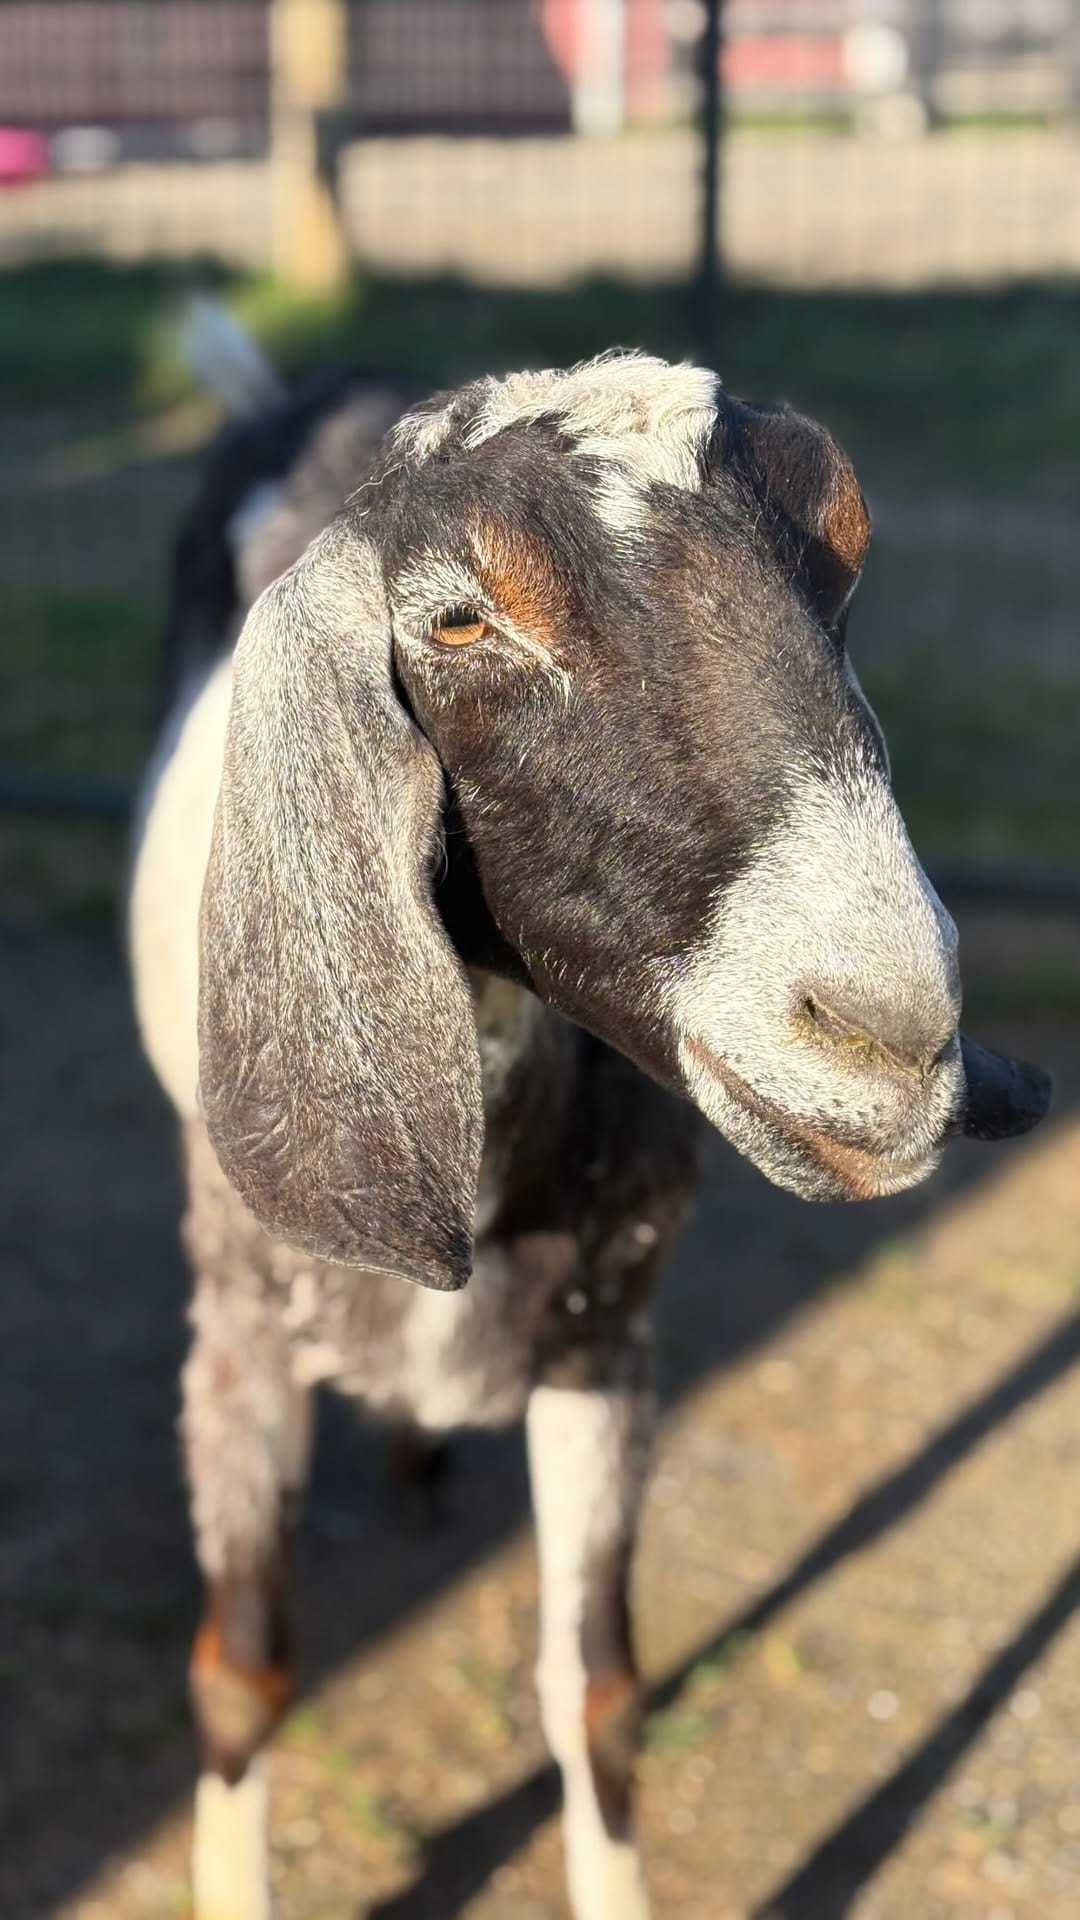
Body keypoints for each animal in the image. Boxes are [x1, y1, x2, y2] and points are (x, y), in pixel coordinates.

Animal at [128, 348, 1051, 1920]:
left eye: (850, 552)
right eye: (457, 616)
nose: (886, 1034)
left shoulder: (609, 1340)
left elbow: (597, 1693)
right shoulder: (240, 1322)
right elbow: (242, 1678)